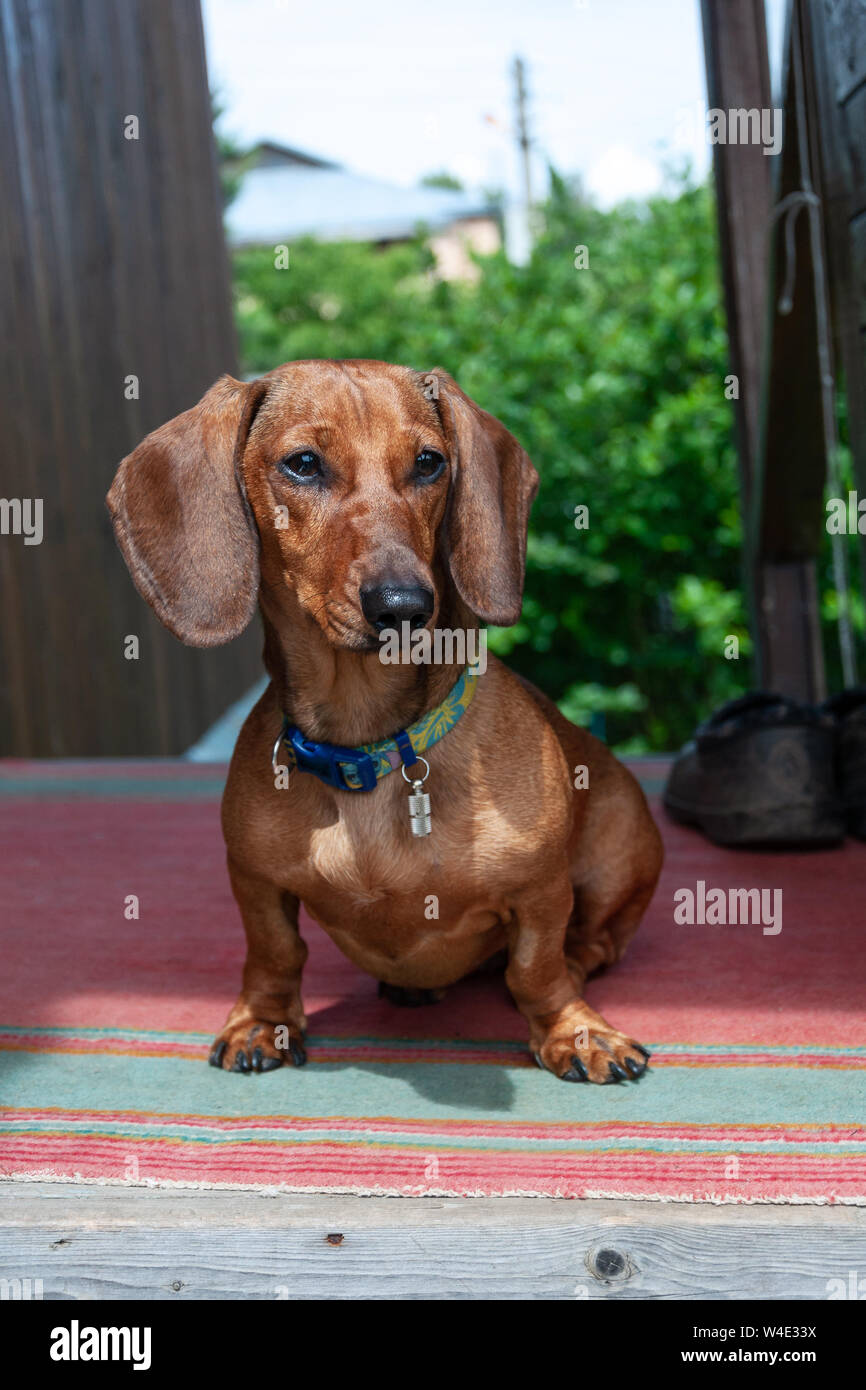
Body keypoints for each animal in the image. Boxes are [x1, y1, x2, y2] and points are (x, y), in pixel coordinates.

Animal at [109, 358, 664, 1084]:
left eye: (430, 463)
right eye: (304, 464)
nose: (403, 605)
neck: (366, 744)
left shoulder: (540, 888)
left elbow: (536, 968)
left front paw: (574, 1031)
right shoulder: (254, 881)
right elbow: (274, 953)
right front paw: (261, 1022)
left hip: (619, 855)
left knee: (593, 943)